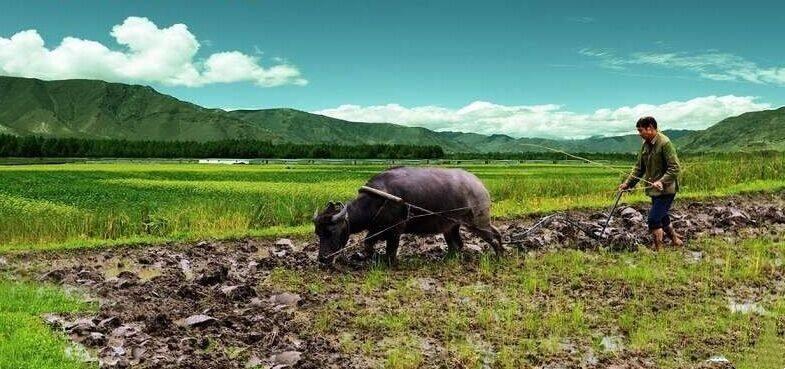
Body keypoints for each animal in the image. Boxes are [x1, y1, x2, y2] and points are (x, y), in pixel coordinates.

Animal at [312, 165, 502, 264]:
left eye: (331, 231)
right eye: (318, 233)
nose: (322, 258)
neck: (377, 200)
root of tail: (479, 185)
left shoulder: (395, 231)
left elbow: (391, 249)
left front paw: (389, 262)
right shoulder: (377, 228)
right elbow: (367, 242)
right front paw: (371, 257)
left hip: (477, 221)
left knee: (492, 236)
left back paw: (500, 254)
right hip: (452, 225)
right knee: (459, 243)